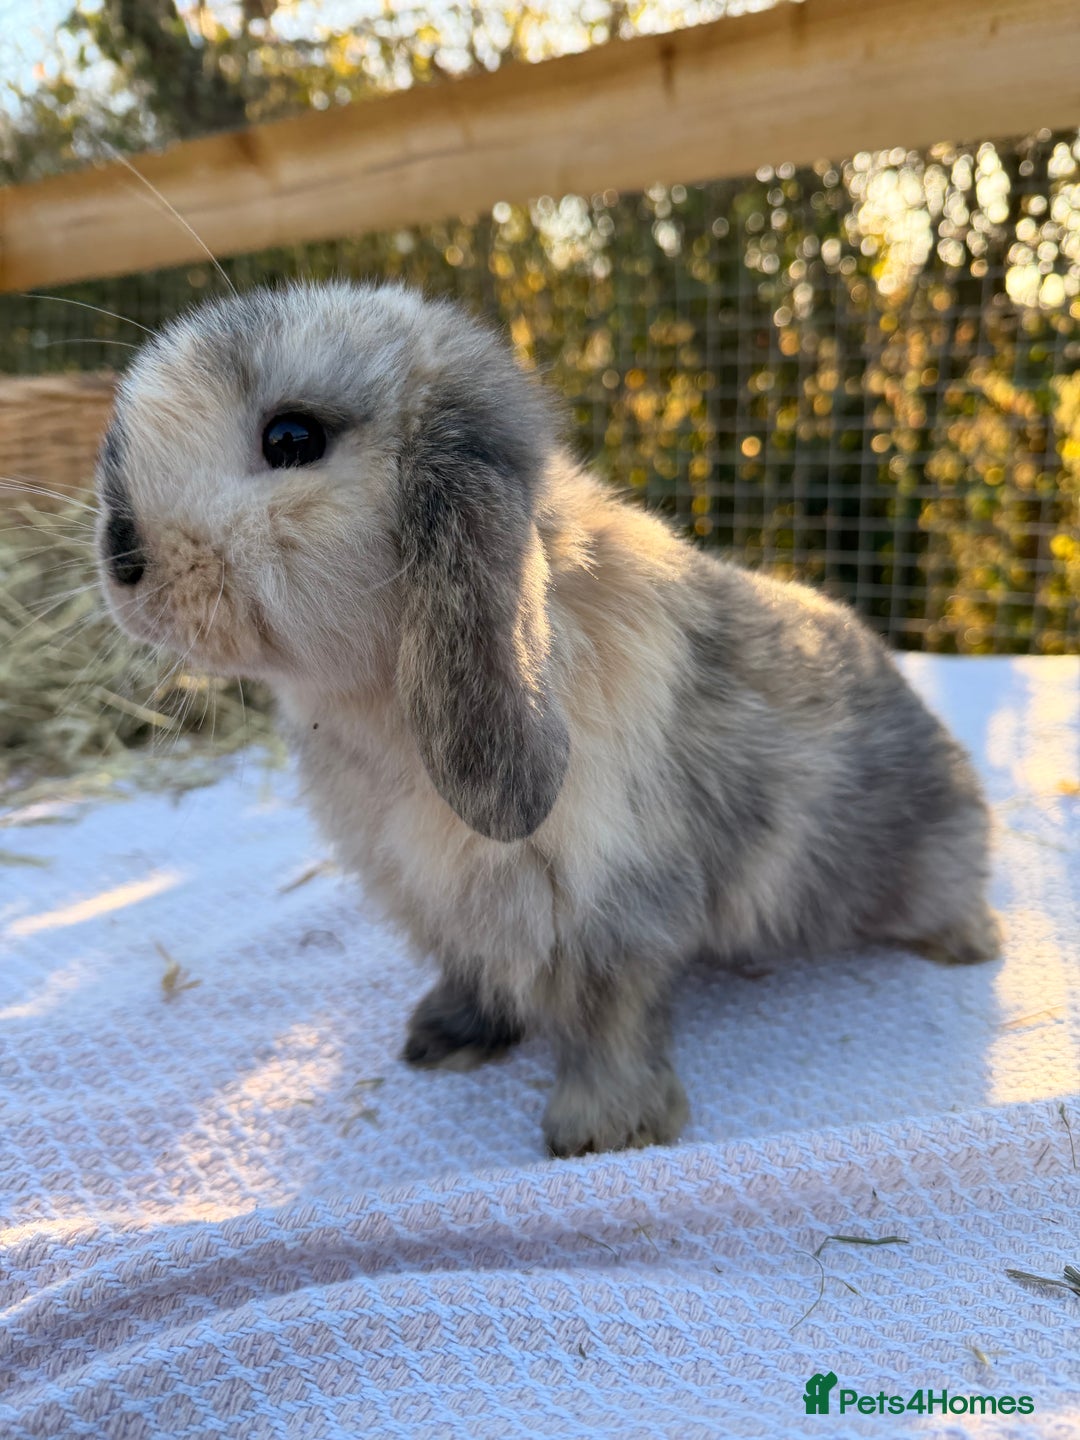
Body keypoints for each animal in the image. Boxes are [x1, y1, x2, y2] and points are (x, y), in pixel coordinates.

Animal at [96, 280, 999, 1157]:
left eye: (291, 437)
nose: (121, 554)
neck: (378, 705)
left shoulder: (609, 910)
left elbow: (610, 1021)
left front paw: (605, 1131)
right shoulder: (440, 905)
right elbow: (478, 975)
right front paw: (441, 1040)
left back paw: (966, 945)